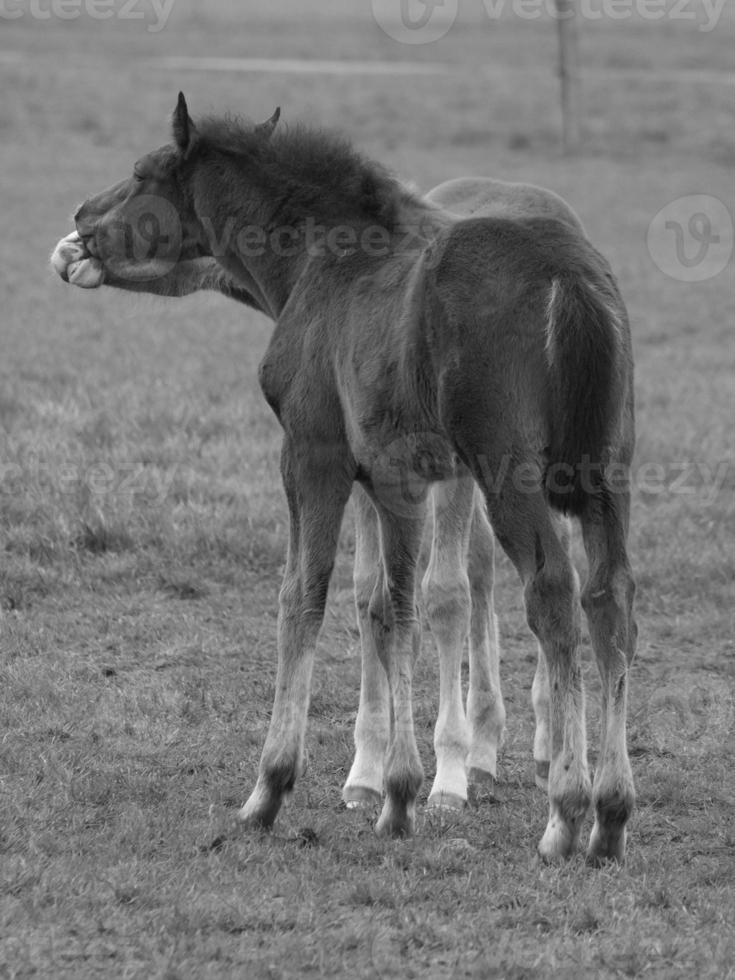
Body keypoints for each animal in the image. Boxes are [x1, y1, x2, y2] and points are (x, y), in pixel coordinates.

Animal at [53, 97, 640, 864]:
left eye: (143, 171)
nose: (81, 222)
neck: (323, 262)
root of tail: (568, 276)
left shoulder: (312, 455)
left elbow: (302, 598)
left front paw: (272, 790)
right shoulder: (397, 480)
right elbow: (392, 609)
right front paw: (395, 794)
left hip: (509, 475)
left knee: (552, 594)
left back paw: (565, 814)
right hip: (605, 474)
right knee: (609, 599)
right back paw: (610, 814)